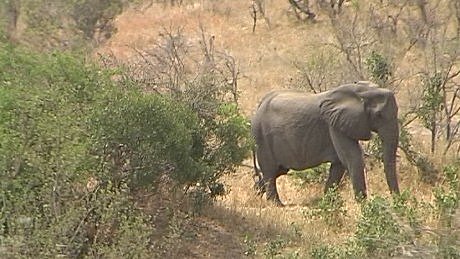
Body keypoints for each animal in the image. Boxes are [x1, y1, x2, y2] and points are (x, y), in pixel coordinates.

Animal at [252, 82, 398, 206]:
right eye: (379, 115)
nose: (396, 201)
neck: (363, 90)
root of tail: (260, 104)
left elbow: (339, 165)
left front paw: (328, 203)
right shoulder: (335, 124)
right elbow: (354, 159)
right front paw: (364, 206)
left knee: (279, 170)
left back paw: (256, 192)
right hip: (262, 137)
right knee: (270, 171)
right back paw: (276, 204)